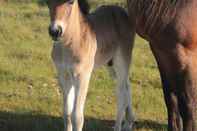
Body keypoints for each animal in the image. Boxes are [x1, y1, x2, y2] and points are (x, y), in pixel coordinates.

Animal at [46, 0, 135, 130]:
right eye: (47, 2)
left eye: (71, 2)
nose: (55, 31)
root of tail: (123, 12)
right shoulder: (63, 75)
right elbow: (66, 113)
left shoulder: (82, 76)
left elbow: (77, 117)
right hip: (110, 64)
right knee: (127, 86)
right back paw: (129, 123)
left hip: (122, 60)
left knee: (122, 93)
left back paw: (119, 126)